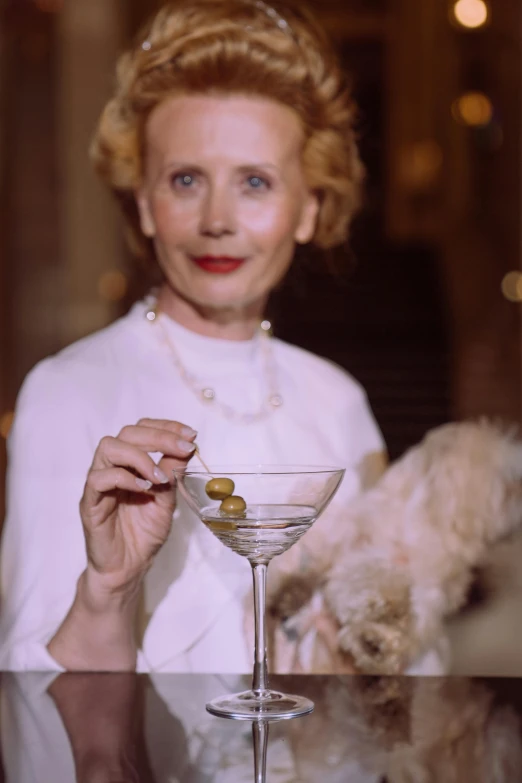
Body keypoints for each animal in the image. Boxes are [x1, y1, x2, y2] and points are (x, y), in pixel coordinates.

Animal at [262, 422, 520, 672]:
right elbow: (363, 578)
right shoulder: (353, 554)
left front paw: (376, 640)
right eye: (508, 486)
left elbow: (412, 624)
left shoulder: (429, 598)